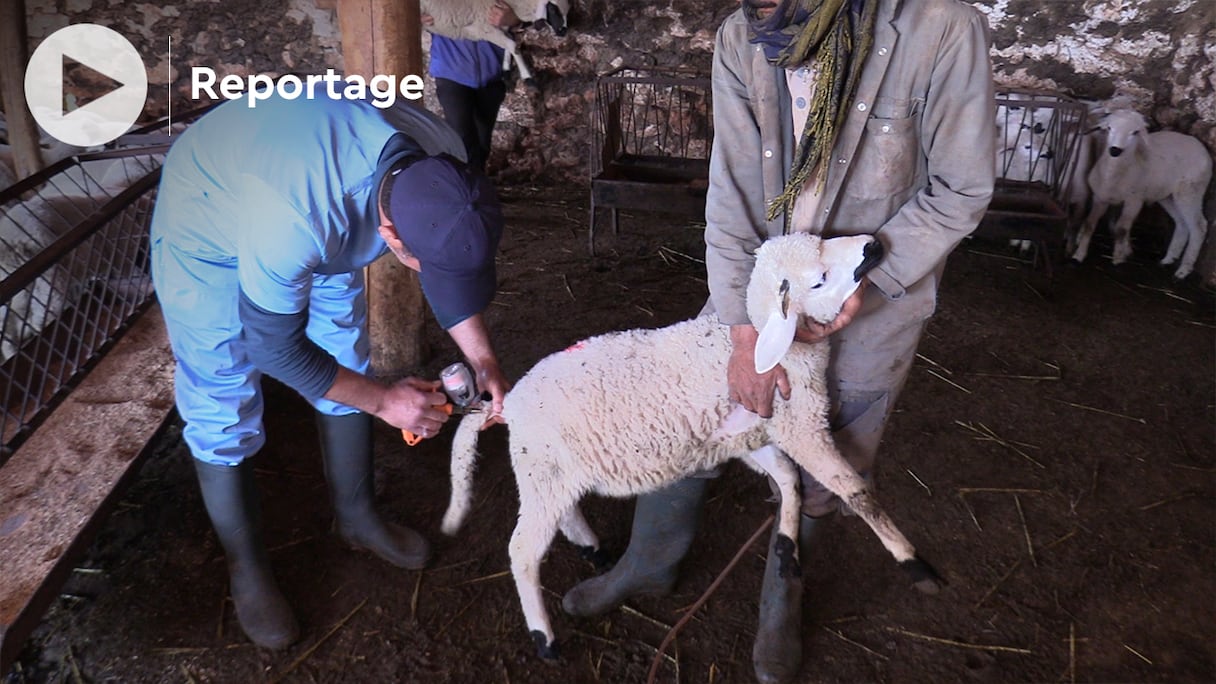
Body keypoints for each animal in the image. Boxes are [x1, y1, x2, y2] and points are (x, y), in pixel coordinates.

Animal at [420, 0, 571, 84]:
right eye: (553, 9)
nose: (563, 31)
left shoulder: (501, 25)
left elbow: (510, 45)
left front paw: (506, 70)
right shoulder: (483, 29)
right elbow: (513, 46)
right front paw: (527, 77)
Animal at [442, 231, 943, 657]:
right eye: (819, 278)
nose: (873, 244)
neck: (781, 351)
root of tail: (509, 404)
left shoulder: (749, 434)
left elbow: (787, 480)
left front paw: (786, 549)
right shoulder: (800, 426)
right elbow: (855, 492)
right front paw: (915, 563)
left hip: (552, 469)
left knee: (561, 514)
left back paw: (594, 550)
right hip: (543, 468)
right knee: (523, 550)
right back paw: (544, 638)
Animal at [1070, 107, 1211, 278]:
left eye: (1135, 132)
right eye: (1109, 128)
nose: (1115, 150)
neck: (1115, 175)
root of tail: (1198, 143)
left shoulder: (1134, 201)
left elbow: (1121, 229)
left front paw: (1118, 259)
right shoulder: (1100, 198)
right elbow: (1089, 224)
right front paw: (1079, 255)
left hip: (1190, 191)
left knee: (1199, 226)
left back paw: (1183, 270)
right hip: (1168, 196)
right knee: (1181, 223)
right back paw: (1168, 259)